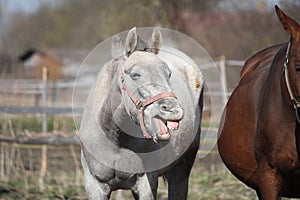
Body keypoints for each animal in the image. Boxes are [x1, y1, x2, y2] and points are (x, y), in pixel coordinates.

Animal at [79, 27, 204, 200]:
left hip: (182, 169)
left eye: (168, 74)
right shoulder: (94, 185)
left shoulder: (146, 182)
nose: (174, 110)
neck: (115, 139)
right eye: (135, 75)